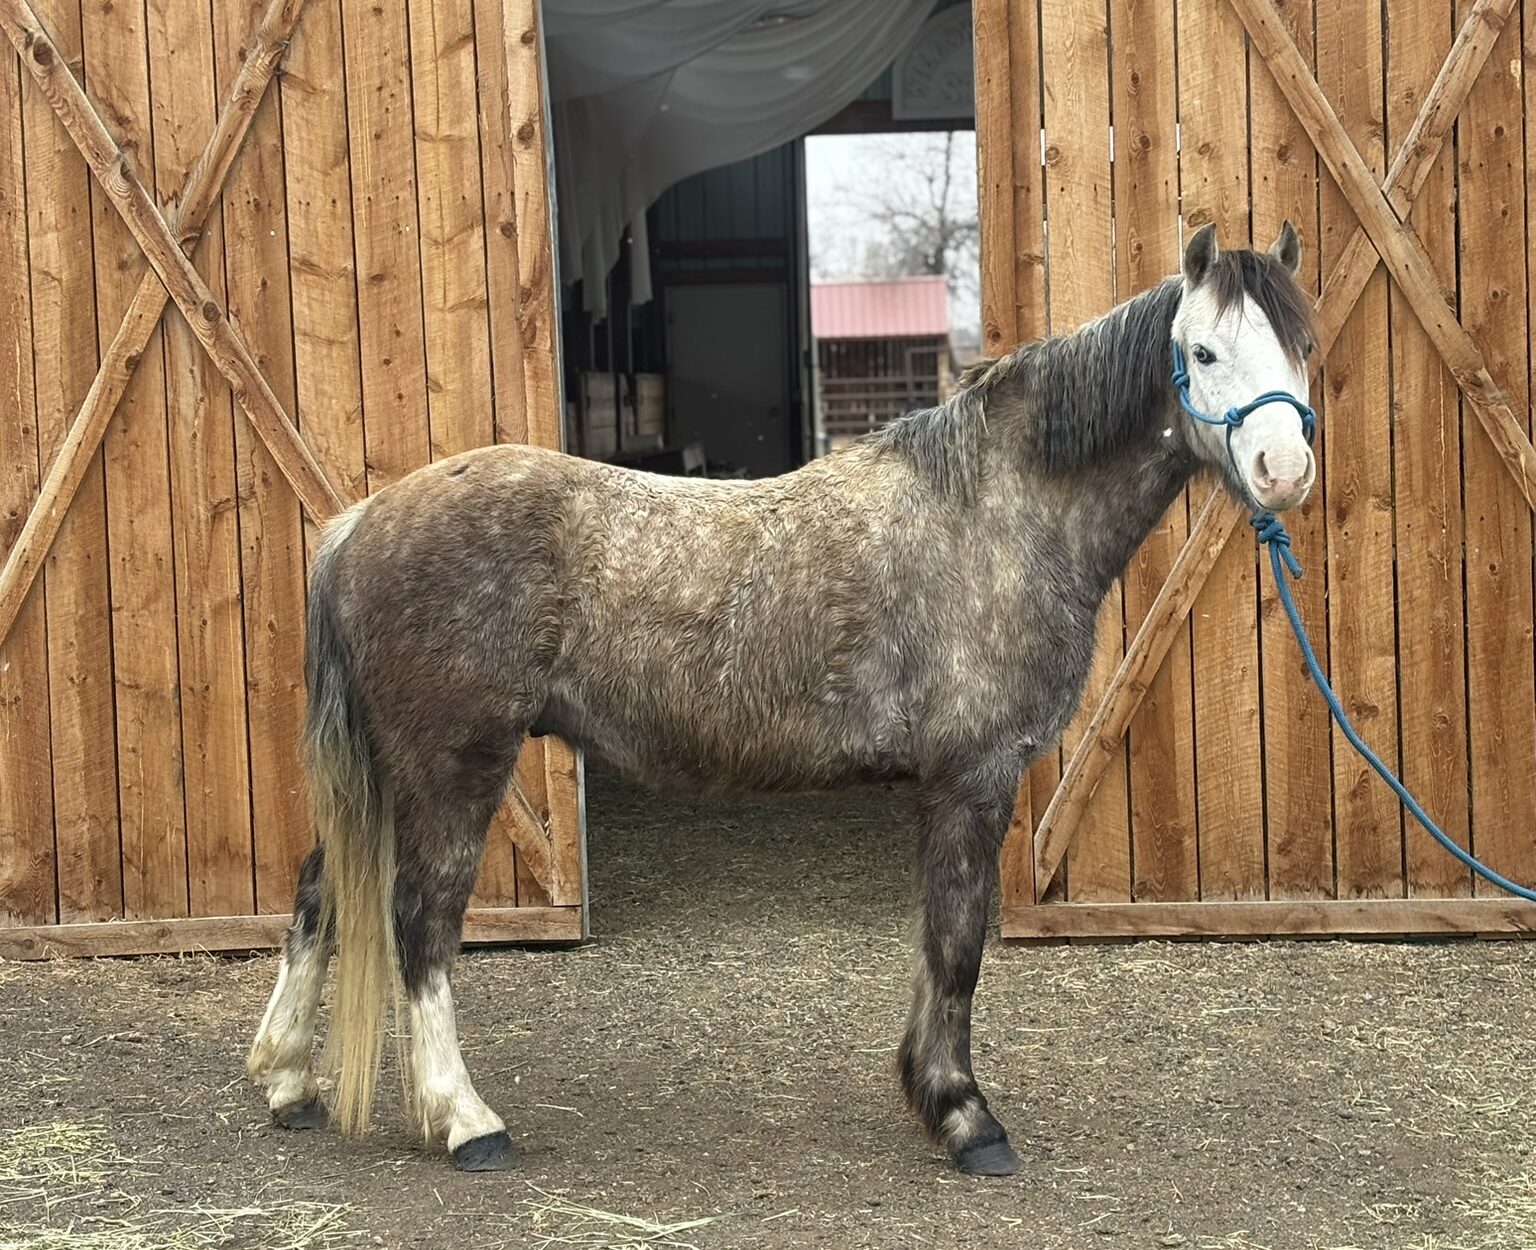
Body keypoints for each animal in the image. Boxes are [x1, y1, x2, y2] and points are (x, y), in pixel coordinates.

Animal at [246, 222, 1317, 1177]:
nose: (1286, 471)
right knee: (420, 921)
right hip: (454, 764)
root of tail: (360, 522)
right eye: (1202, 350)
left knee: (320, 891)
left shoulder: (946, 785)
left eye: (1301, 345)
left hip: (393, 770)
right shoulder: (973, 776)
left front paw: (926, 1091)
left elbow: (935, 939)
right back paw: (465, 1121)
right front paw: (966, 1119)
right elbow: (959, 942)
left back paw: (289, 1080)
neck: (994, 515)